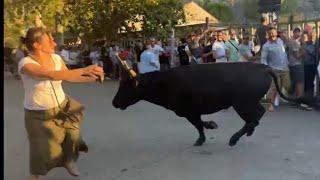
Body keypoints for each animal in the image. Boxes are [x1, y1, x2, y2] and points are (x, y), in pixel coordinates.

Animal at [112, 62, 292, 147]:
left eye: (126, 86)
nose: (114, 103)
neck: (166, 83)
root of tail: (264, 68)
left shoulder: (188, 111)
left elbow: (198, 124)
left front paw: (204, 134)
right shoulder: (191, 111)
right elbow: (200, 123)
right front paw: (209, 128)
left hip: (242, 104)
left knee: (255, 116)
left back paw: (234, 139)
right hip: (246, 103)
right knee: (256, 115)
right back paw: (247, 133)